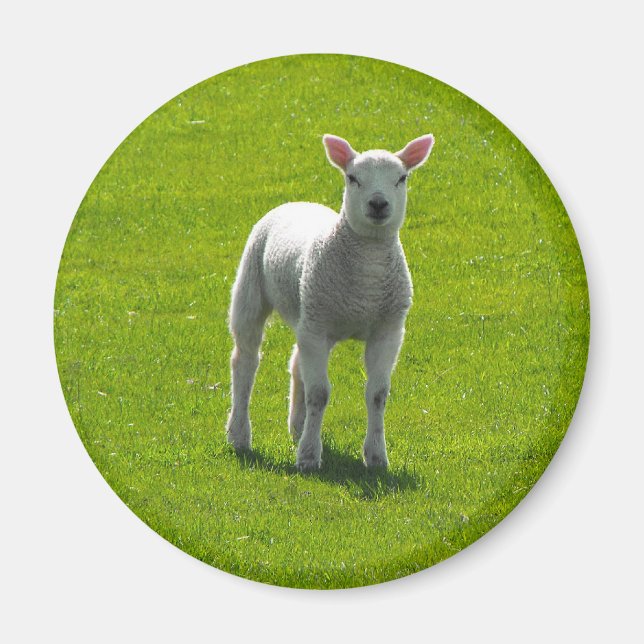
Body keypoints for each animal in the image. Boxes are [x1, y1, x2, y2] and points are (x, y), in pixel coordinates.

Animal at [226, 133, 435, 471]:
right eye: (352, 178)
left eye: (401, 178)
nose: (378, 204)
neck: (367, 276)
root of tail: (298, 202)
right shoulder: (318, 329)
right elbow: (319, 394)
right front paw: (309, 457)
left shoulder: (387, 330)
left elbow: (378, 394)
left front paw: (376, 457)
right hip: (253, 289)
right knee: (245, 361)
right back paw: (239, 435)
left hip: (309, 312)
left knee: (296, 361)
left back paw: (297, 427)